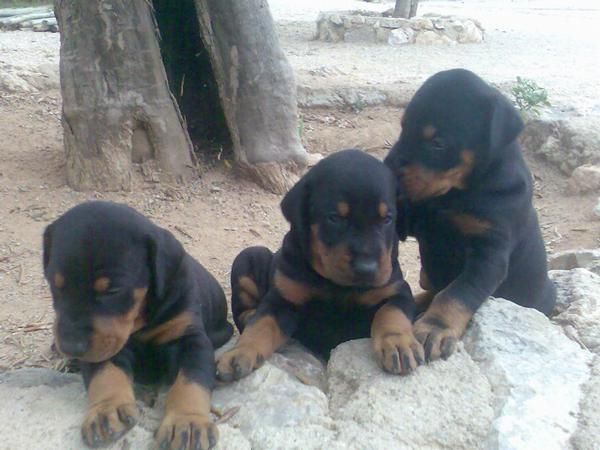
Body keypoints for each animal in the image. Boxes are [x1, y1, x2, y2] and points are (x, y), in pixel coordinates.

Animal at [42, 202, 233, 450]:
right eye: (54, 284)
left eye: (112, 291)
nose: (71, 346)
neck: (140, 319)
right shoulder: (105, 344)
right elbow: (105, 372)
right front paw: (106, 410)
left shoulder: (189, 339)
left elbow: (192, 379)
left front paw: (188, 422)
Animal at [216, 149, 422, 380]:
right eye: (334, 218)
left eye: (387, 219)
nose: (366, 269)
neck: (336, 285)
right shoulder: (283, 299)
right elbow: (262, 325)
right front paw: (240, 352)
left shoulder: (397, 290)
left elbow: (391, 313)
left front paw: (398, 343)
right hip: (248, 256)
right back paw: (251, 314)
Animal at [384, 67, 556, 362]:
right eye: (403, 127)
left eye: (438, 143)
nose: (388, 166)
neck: (457, 194)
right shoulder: (416, 219)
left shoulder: (489, 253)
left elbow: (457, 293)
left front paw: (435, 328)